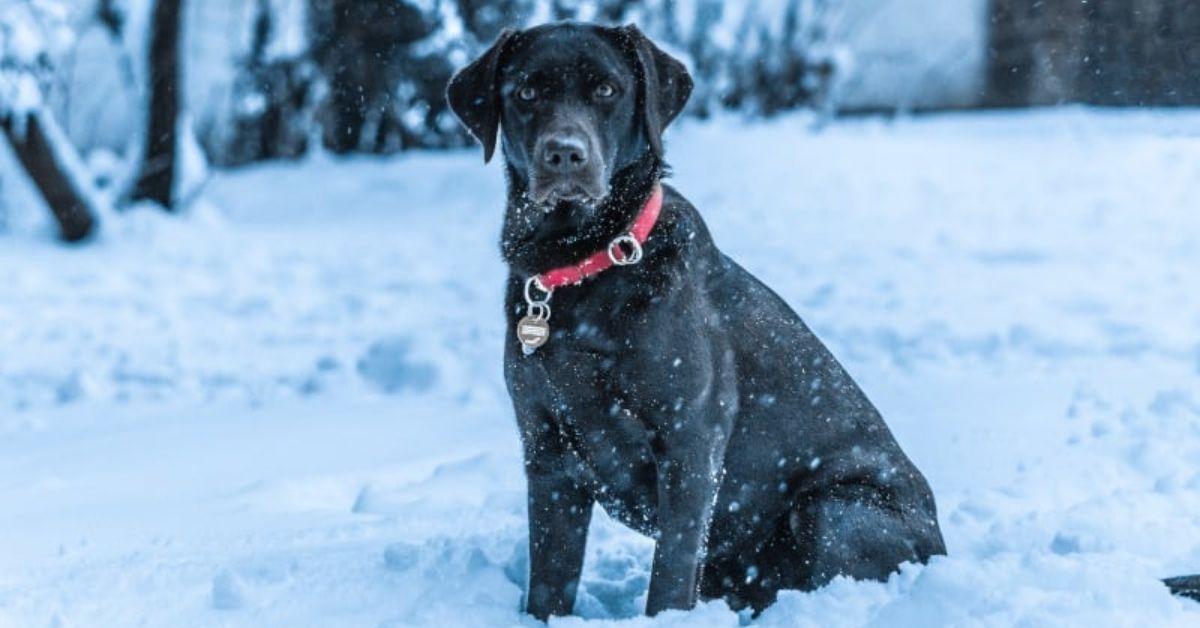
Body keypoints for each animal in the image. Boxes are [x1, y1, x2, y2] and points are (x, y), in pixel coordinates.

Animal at [448, 23, 945, 619]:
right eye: (526, 92)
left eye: (607, 90)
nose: (565, 154)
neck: (584, 264)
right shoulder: (546, 451)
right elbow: (548, 581)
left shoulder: (690, 442)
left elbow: (669, 575)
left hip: (838, 507)